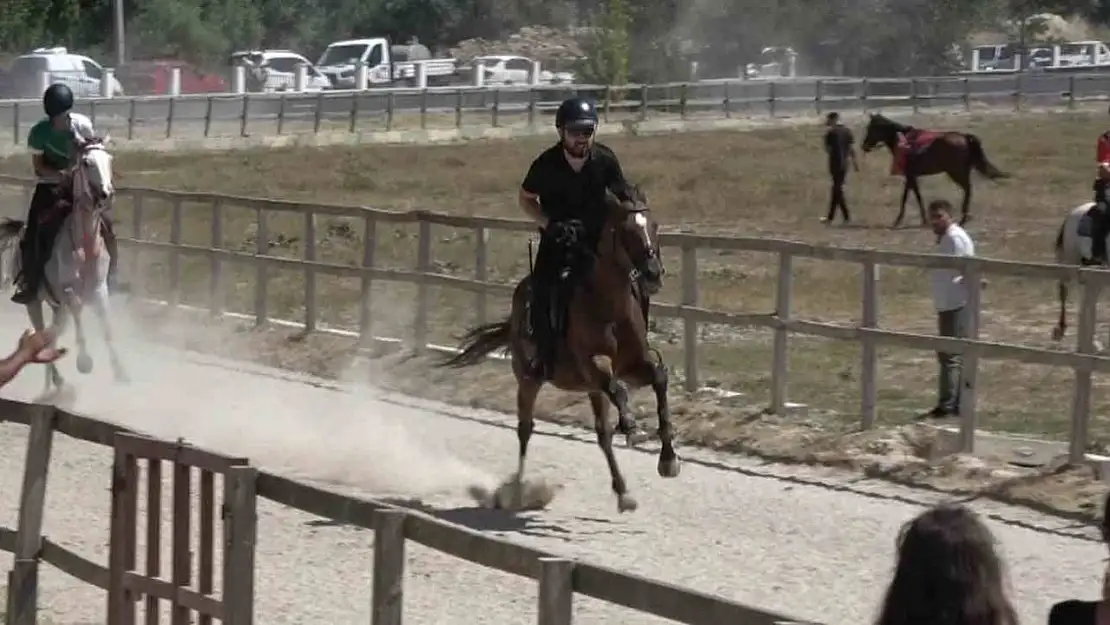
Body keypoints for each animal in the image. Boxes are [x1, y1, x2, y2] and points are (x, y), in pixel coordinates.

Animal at [0, 137, 127, 392]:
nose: (106, 194)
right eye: (86, 162)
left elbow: (106, 324)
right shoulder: (67, 289)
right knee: (41, 332)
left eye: (109, 159)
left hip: (58, 308)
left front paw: (120, 371)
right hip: (34, 303)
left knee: (53, 333)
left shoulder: (99, 288)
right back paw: (56, 378)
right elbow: (77, 308)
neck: (84, 243)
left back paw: (54, 380)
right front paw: (85, 361)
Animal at [435, 184, 674, 512]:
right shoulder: (594, 365)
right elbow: (619, 390)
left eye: (655, 226)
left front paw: (668, 459)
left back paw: (623, 493)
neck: (610, 307)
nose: (653, 273)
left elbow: (659, 379)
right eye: (626, 231)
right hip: (529, 379)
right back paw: (516, 492)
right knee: (525, 429)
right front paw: (632, 427)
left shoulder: (633, 365)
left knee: (602, 435)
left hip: (587, 388)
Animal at [861, 113, 1012, 228]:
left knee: (968, 189)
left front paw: (898, 221)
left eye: (871, 128)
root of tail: (964, 137)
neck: (904, 143)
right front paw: (923, 219)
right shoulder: (912, 176)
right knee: (968, 189)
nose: (864, 146)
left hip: (956, 172)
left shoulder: (910, 176)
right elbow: (917, 196)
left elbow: (906, 197)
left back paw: (964, 218)